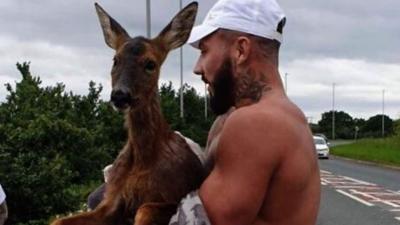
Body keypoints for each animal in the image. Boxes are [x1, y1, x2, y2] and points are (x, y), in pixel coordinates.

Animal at [50, 1, 205, 225]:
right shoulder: (112, 198)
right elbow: (58, 220)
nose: (120, 95)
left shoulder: (174, 194)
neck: (143, 160)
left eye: (150, 64)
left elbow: (145, 209)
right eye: (115, 60)